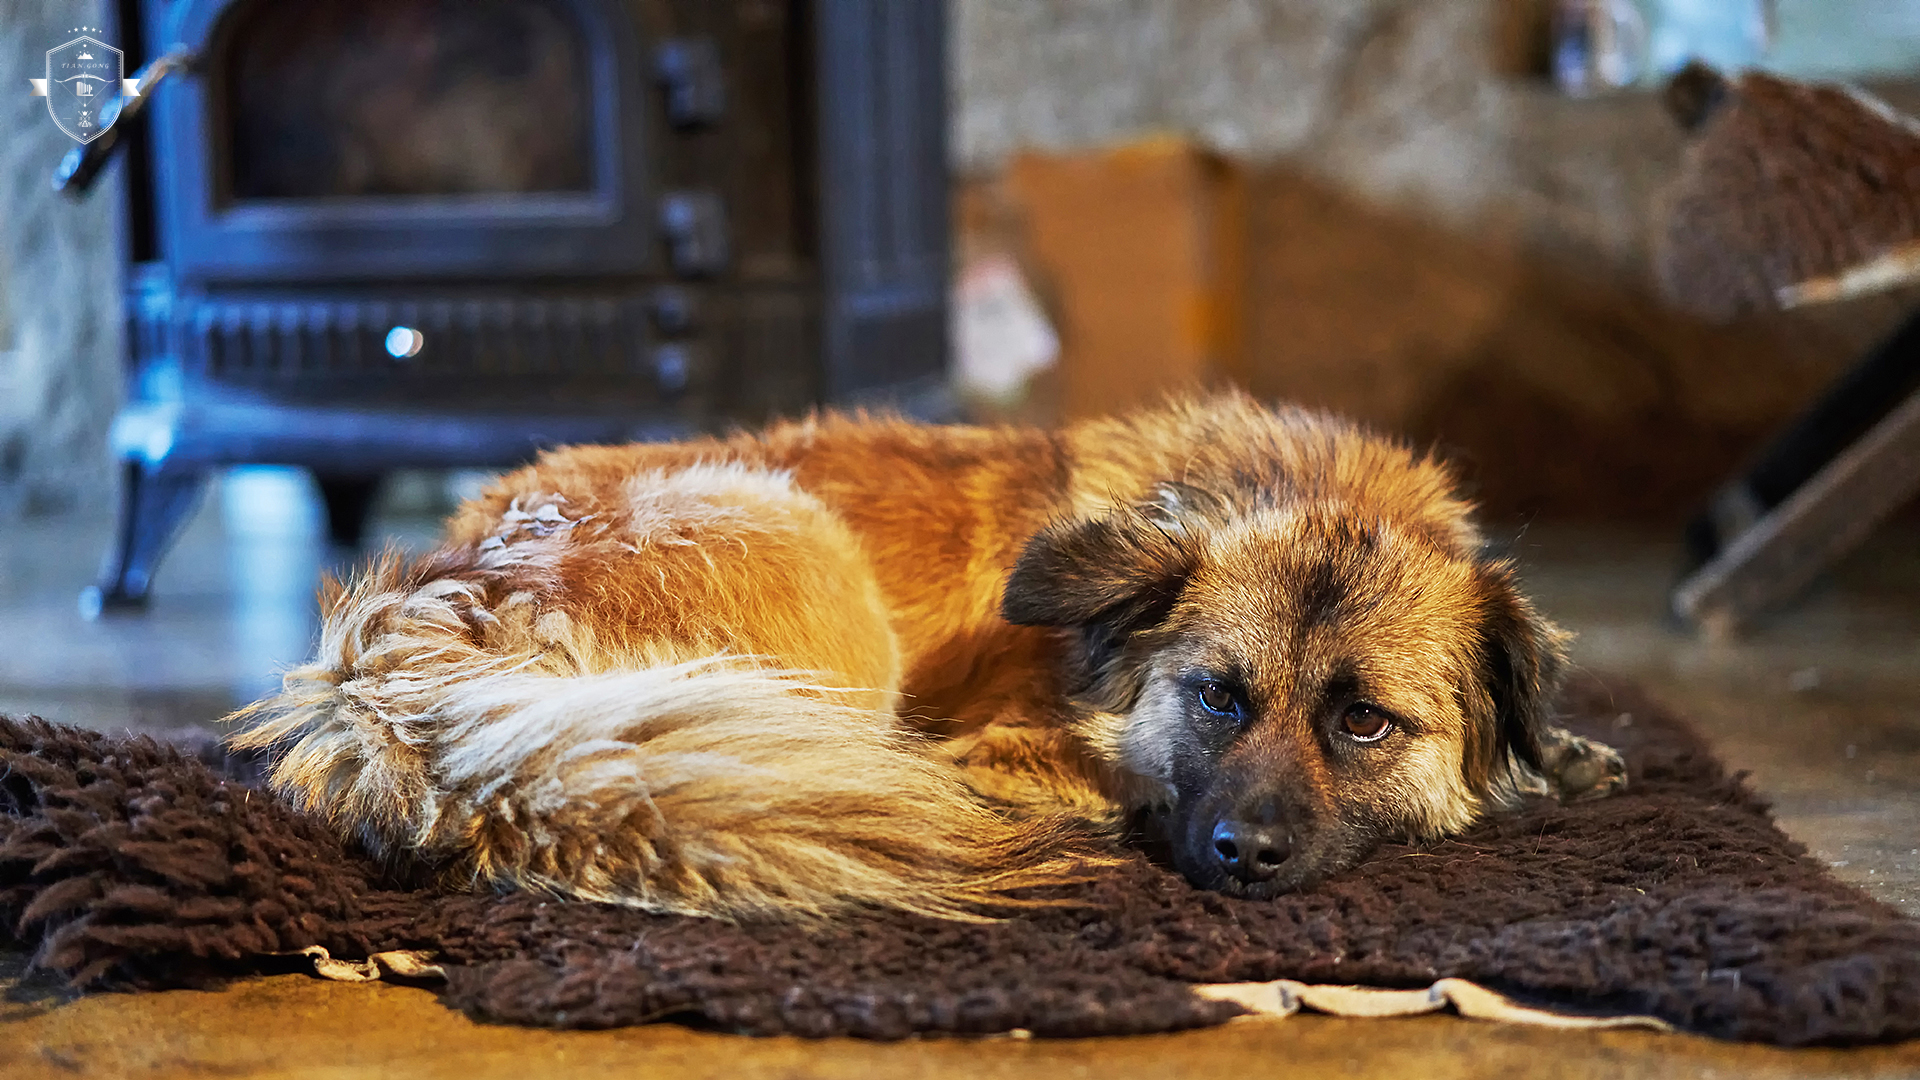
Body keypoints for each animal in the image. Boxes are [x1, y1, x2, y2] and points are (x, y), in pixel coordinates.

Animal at [232, 393, 1628, 914]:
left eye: (1363, 724)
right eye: (1217, 698)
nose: (1246, 856)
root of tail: (423, 622)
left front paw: (1569, 756)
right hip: (802, 551)